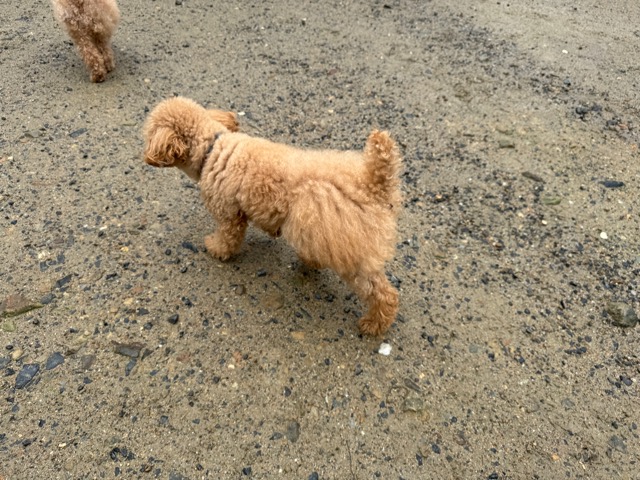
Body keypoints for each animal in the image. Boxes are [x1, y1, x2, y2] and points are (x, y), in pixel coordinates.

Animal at [142, 97, 402, 336]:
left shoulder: (228, 214)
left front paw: (215, 249)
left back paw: (374, 323)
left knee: (383, 292)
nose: (146, 155)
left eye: (148, 133)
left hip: (352, 250)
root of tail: (372, 185)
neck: (212, 148)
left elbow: (227, 239)